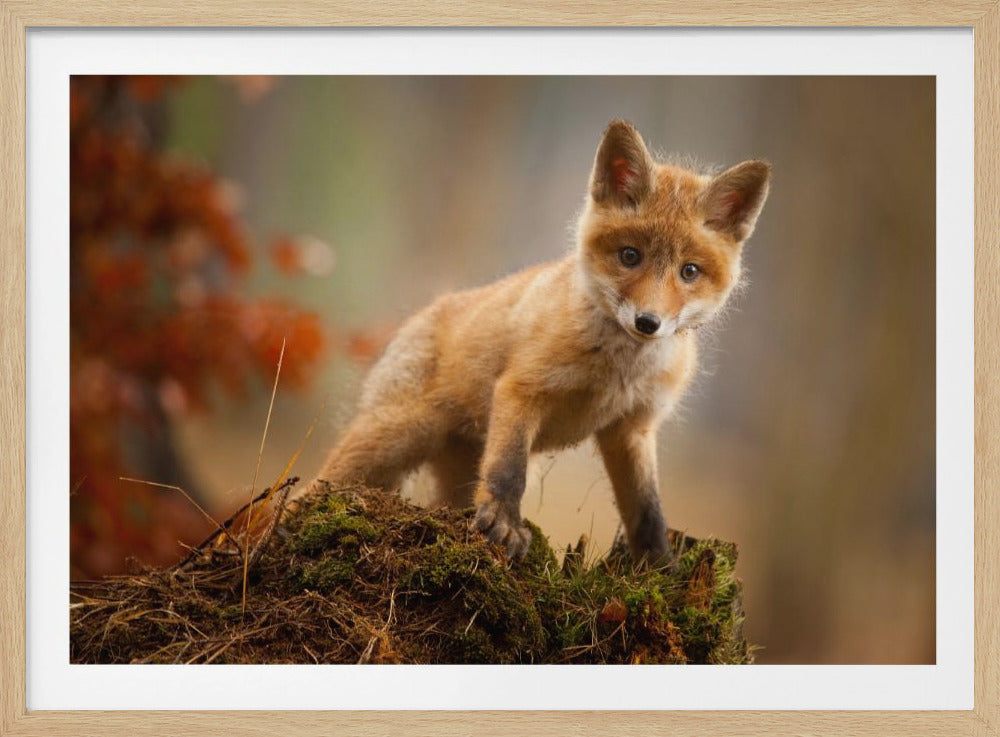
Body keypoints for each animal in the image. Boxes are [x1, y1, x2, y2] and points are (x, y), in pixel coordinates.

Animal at [315, 119, 770, 565]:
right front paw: (504, 525)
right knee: (317, 486)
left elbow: (647, 510)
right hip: (393, 438)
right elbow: (508, 470)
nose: (647, 322)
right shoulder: (522, 390)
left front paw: (659, 568)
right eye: (630, 256)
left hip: (453, 470)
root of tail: (422, 314)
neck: (617, 371)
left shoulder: (632, 428)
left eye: (689, 271)